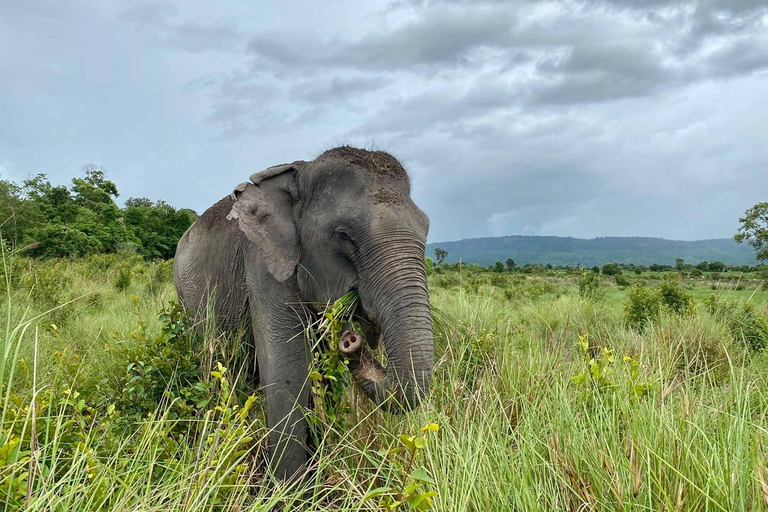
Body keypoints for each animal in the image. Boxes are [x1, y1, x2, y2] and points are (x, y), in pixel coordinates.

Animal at [175, 145, 436, 480]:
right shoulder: (263, 268)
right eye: (343, 234)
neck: (301, 175)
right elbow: (288, 372)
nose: (351, 339)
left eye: (426, 228)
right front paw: (290, 488)